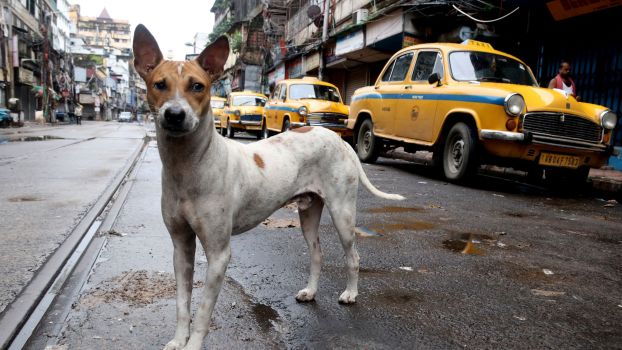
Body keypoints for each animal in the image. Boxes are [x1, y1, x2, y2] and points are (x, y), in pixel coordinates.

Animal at [133, 25, 404, 350]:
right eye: (159, 84)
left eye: (197, 86)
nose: (174, 115)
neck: (188, 165)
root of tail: (339, 140)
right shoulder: (181, 246)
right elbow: (182, 303)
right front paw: (178, 340)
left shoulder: (219, 254)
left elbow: (203, 311)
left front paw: (193, 344)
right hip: (309, 212)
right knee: (317, 254)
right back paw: (311, 291)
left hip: (342, 213)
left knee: (353, 256)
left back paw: (351, 294)